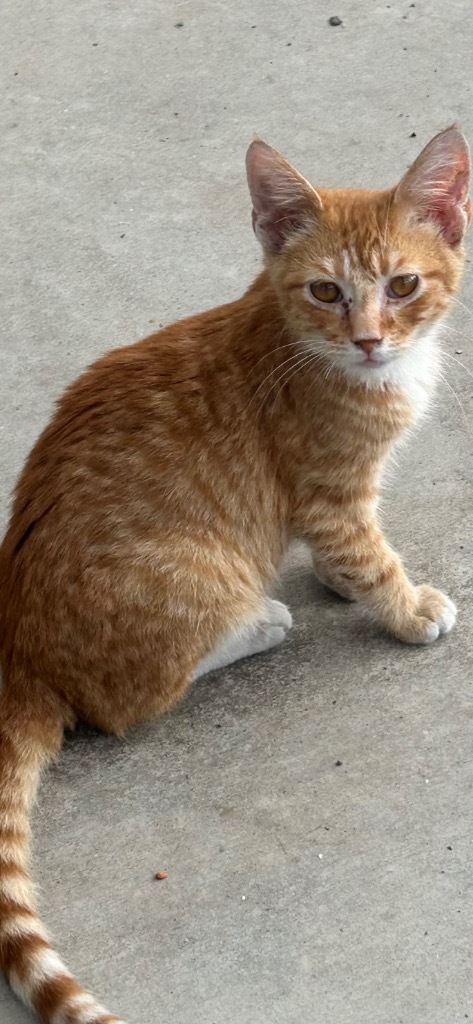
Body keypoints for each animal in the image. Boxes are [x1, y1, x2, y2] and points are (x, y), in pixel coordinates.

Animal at [0, 123, 468, 1019]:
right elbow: (366, 553)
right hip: (198, 569)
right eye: (325, 291)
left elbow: (344, 555)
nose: (368, 339)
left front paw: (340, 586)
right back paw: (256, 623)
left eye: (402, 285)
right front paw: (402, 606)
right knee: (126, 704)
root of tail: (23, 652)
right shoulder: (328, 493)